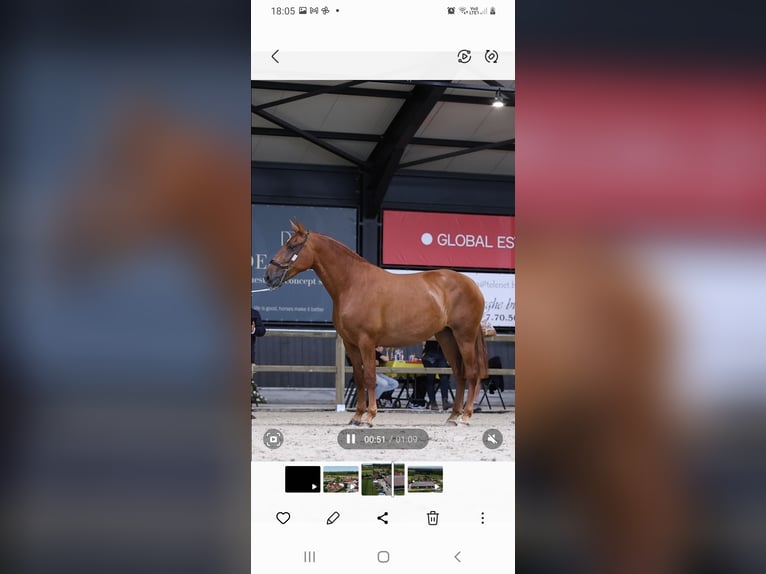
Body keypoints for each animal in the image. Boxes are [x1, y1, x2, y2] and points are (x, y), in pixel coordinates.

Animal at [264, 220, 489, 426]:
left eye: (292, 246)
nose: (268, 276)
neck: (353, 284)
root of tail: (472, 284)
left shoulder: (367, 342)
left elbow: (370, 377)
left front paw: (370, 416)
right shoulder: (351, 344)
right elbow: (359, 377)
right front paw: (356, 416)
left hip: (464, 337)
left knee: (471, 373)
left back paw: (466, 416)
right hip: (446, 337)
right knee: (459, 374)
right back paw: (452, 417)